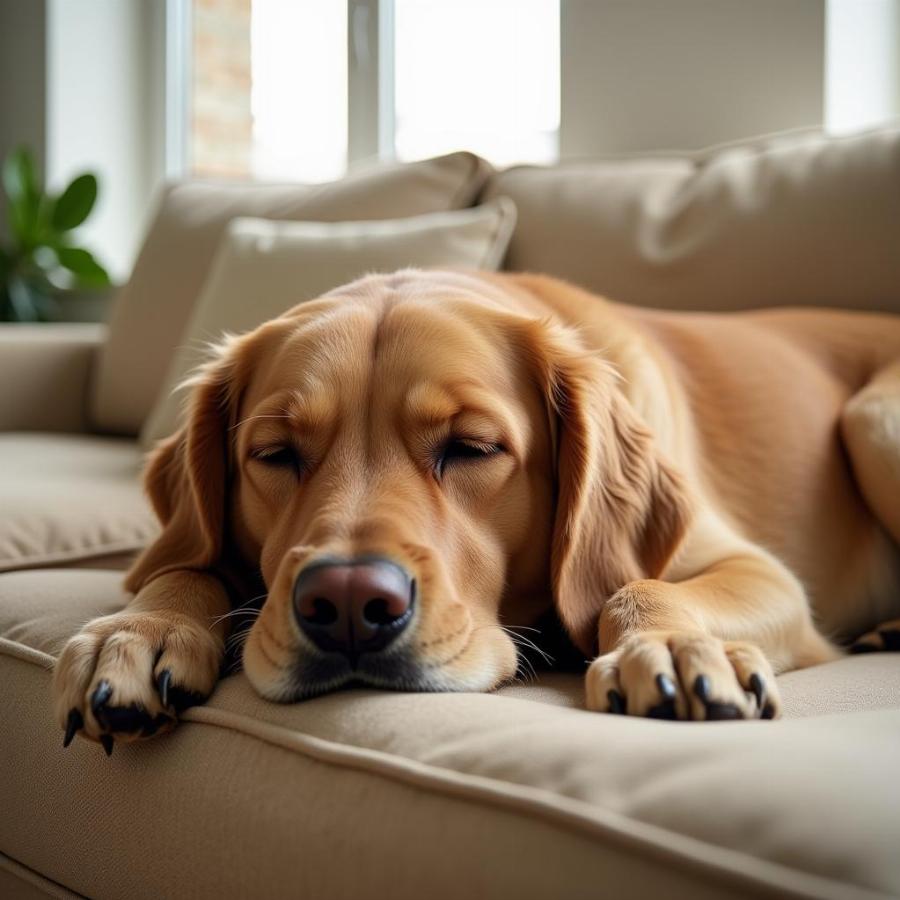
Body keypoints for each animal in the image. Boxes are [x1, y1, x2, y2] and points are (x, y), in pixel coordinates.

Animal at [52, 270, 900, 748]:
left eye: (471, 447)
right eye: (275, 455)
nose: (349, 604)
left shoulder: (761, 573)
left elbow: (635, 584)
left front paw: (670, 646)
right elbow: (186, 565)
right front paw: (137, 631)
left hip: (873, 419)